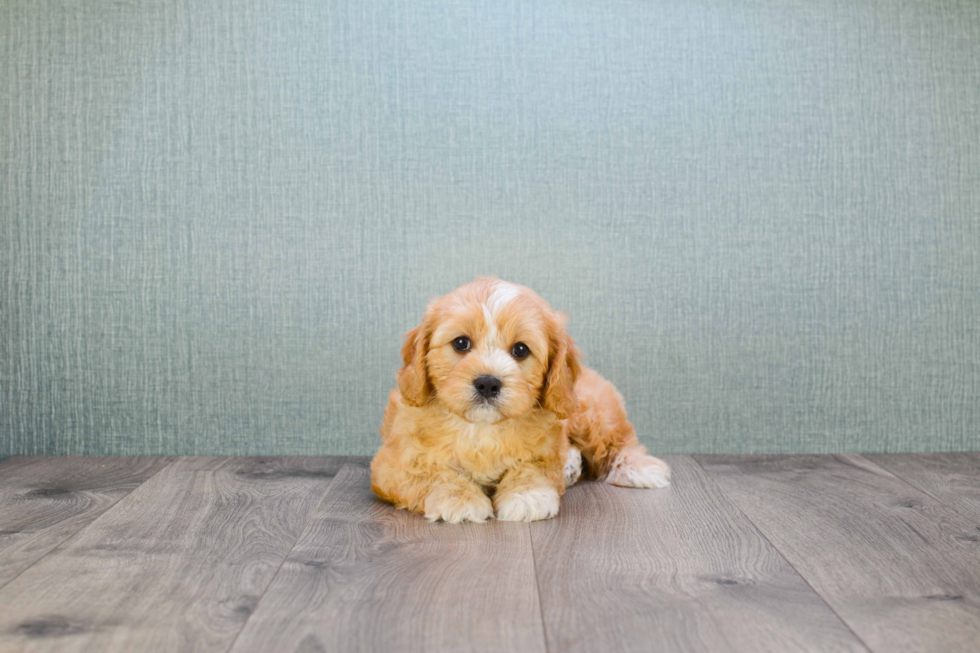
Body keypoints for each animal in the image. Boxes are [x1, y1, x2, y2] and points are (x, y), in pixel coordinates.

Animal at [372, 278, 668, 524]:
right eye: (460, 343)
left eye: (521, 350)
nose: (488, 383)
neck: (482, 429)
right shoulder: (393, 463)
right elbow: (430, 474)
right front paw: (459, 498)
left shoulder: (545, 451)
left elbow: (532, 469)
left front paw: (527, 496)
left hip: (590, 412)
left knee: (617, 441)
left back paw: (640, 468)